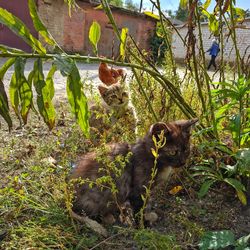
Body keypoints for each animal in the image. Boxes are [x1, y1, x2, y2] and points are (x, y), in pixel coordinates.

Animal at [68, 118, 197, 221]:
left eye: (186, 149)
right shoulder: (138, 189)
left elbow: (146, 203)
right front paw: (143, 225)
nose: (183, 162)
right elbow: (140, 207)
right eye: (173, 152)